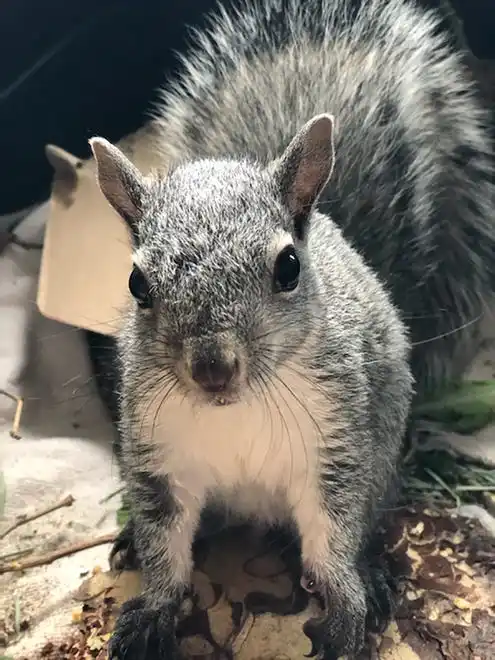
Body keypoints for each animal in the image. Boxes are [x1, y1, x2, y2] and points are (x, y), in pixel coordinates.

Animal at [87, 1, 494, 660]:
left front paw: (347, 607)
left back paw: (374, 572)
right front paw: (151, 608)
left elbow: (333, 534)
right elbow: (165, 541)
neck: (239, 409)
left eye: (288, 268)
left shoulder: (335, 447)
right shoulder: (158, 455)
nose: (212, 368)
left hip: (383, 459)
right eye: (136, 284)